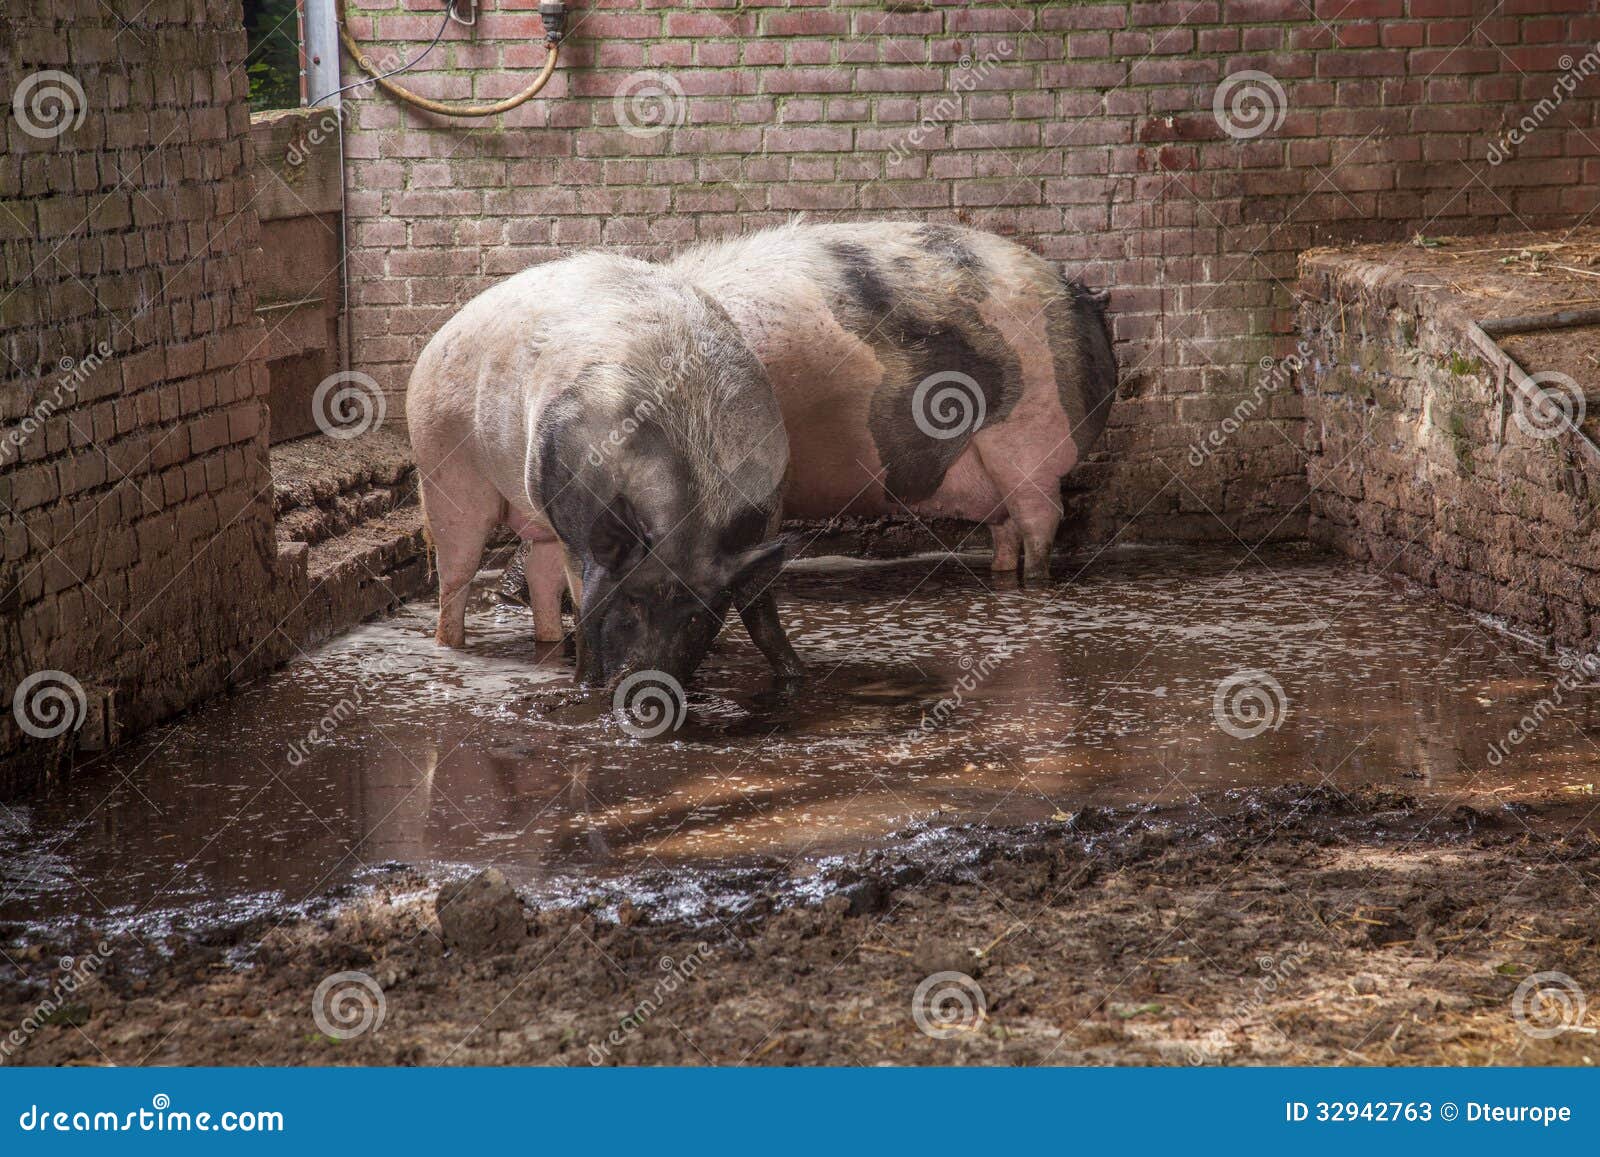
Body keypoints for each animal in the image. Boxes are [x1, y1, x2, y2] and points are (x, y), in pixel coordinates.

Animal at [405, 253, 803, 688]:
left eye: (698, 617)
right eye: (631, 603)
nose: (649, 688)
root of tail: (440, 335)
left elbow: (760, 605)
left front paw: (796, 675)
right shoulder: (580, 524)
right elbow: (585, 608)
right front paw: (584, 686)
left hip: (536, 511)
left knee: (540, 575)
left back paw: (549, 649)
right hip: (443, 461)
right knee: (456, 576)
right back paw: (452, 648)